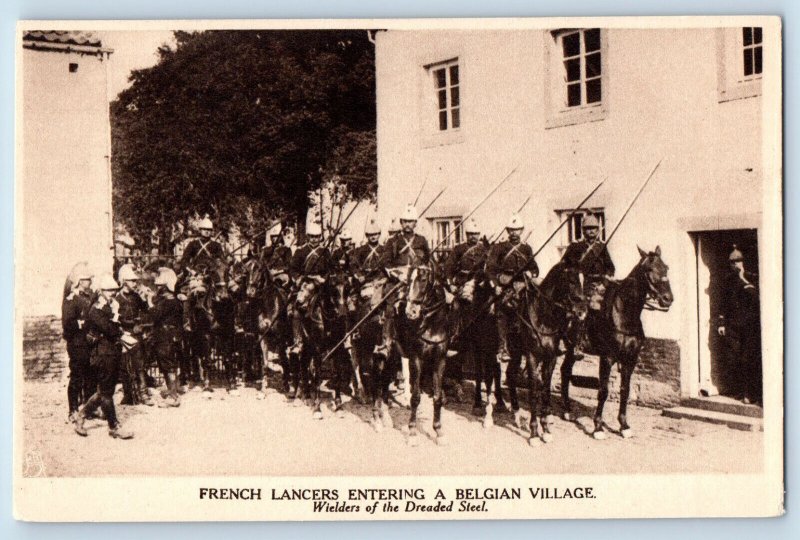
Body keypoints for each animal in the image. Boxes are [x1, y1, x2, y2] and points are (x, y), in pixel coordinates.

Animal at [396, 266, 454, 448]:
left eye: (423, 280)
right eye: (409, 280)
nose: (410, 312)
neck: (431, 327)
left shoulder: (440, 361)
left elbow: (437, 396)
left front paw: (439, 432)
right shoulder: (417, 359)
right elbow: (416, 397)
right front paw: (412, 432)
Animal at [506, 264, 588, 446]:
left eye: (583, 280)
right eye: (571, 281)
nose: (582, 311)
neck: (543, 318)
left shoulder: (550, 359)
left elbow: (545, 390)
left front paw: (546, 430)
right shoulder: (532, 357)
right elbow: (534, 392)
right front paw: (534, 433)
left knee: (509, 374)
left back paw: (516, 413)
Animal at [560, 245, 672, 438]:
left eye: (666, 268)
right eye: (649, 269)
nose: (668, 299)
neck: (624, 315)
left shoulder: (630, 359)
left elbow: (625, 391)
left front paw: (624, 426)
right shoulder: (607, 358)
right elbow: (603, 391)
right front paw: (598, 427)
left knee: (565, 371)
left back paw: (567, 411)